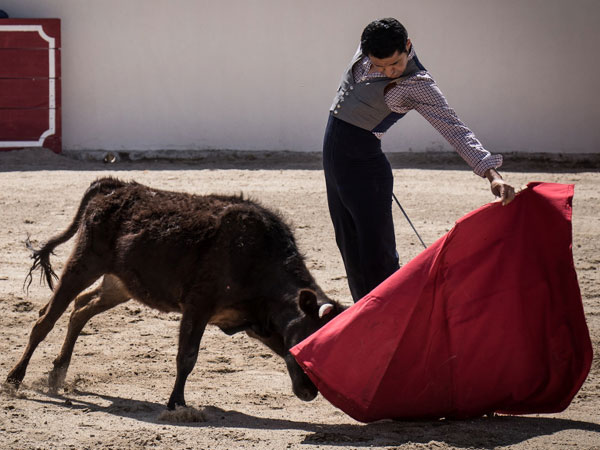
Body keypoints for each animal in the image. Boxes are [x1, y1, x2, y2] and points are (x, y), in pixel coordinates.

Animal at [4, 178, 344, 410]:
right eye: (311, 341)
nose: (311, 392)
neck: (259, 259)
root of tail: (115, 187)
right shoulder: (198, 306)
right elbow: (187, 355)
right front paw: (177, 402)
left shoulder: (257, 323)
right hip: (83, 263)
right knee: (46, 320)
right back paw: (15, 378)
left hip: (120, 284)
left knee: (80, 309)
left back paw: (57, 373)